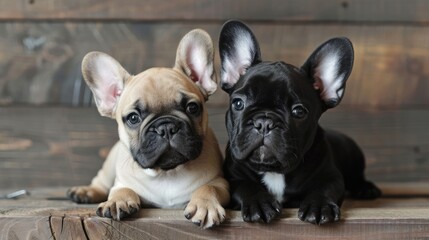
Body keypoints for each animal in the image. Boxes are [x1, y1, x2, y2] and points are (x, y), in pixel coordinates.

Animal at [67, 29, 229, 228]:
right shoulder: (120, 182)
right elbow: (122, 190)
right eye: (133, 118)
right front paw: (117, 201)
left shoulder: (220, 182)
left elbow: (208, 187)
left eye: (192, 107)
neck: (168, 173)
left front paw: (205, 205)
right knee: (101, 182)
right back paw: (85, 191)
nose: (166, 127)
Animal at [219, 20, 380, 225]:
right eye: (238, 103)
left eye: (298, 111)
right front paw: (258, 203)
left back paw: (366, 188)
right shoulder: (232, 177)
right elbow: (245, 186)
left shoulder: (331, 177)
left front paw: (319, 206)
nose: (264, 122)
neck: (274, 171)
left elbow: (324, 189)